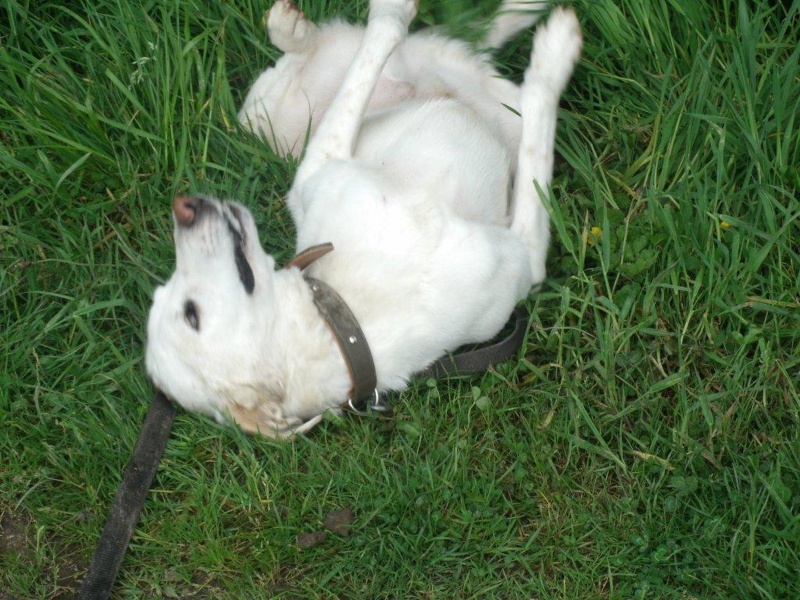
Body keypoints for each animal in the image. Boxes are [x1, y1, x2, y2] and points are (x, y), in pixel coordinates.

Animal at [145, 0, 580, 436]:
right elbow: (537, 133)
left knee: (316, 53)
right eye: (191, 314)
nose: (182, 208)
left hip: (273, 115)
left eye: (167, 294)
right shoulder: (526, 257)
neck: (348, 319)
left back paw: (293, 29)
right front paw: (554, 55)